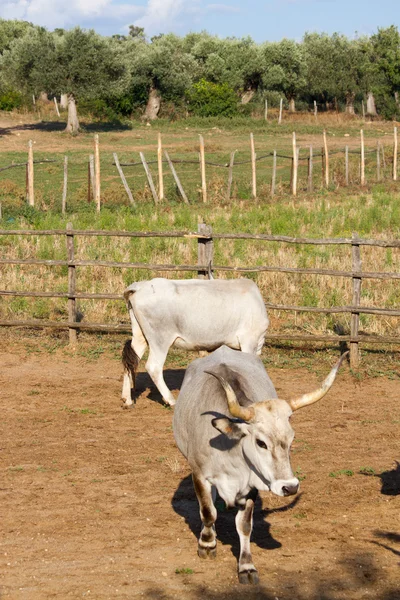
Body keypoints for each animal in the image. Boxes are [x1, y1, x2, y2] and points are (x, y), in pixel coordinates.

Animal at [119, 278, 268, 408]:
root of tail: (140, 286)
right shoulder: (249, 340)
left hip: (140, 335)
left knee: (130, 362)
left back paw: (127, 400)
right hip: (160, 339)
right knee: (153, 367)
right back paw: (171, 400)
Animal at [173, 346, 348, 584]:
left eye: (291, 439)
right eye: (261, 442)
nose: (290, 487)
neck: (230, 452)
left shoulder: (253, 484)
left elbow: (245, 525)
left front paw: (246, 566)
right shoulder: (199, 475)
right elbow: (208, 512)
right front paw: (207, 544)